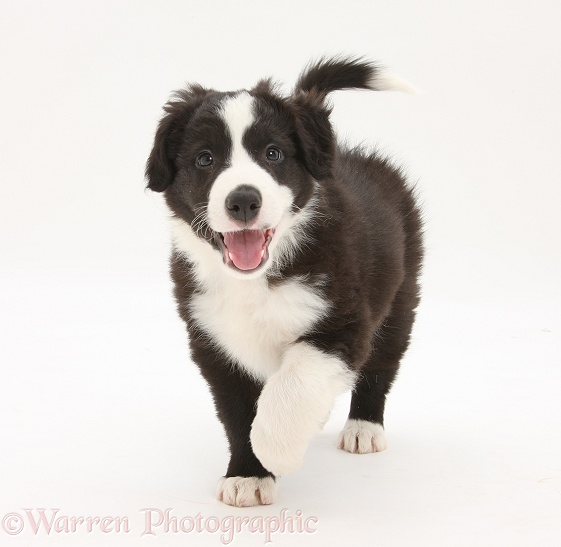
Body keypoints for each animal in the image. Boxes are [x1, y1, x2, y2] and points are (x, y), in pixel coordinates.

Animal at [144, 57, 420, 508]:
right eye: (205, 159)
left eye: (272, 154)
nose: (243, 200)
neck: (255, 281)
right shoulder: (215, 341)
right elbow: (238, 413)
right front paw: (249, 474)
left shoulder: (342, 320)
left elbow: (294, 381)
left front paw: (276, 448)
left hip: (401, 295)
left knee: (382, 363)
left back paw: (364, 427)